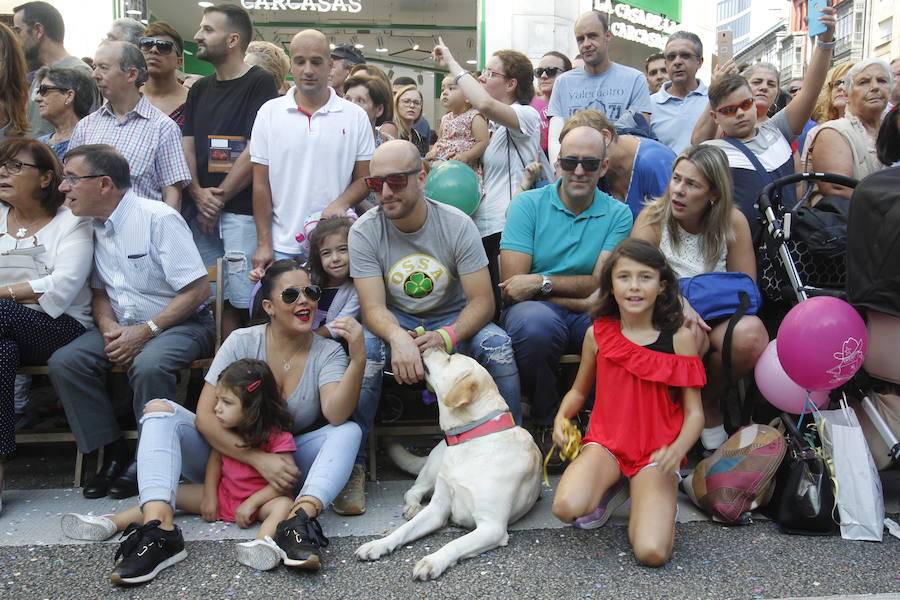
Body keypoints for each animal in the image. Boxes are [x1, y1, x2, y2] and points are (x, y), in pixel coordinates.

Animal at [356, 350, 540, 580]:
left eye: (450, 359)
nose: (427, 347)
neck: (471, 440)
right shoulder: (438, 507)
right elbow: (403, 530)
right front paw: (379, 544)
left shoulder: (493, 527)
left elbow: (455, 543)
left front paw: (432, 561)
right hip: (432, 472)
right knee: (413, 490)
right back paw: (413, 507)